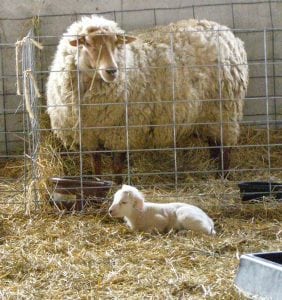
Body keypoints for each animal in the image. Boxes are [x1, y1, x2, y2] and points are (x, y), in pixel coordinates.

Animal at [46, 15, 249, 182]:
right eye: (87, 43)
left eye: (116, 43)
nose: (112, 70)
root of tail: (229, 35)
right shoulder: (89, 135)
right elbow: (96, 164)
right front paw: (98, 183)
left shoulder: (123, 132)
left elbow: (117, 165)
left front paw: (118, 186)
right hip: (210, 115)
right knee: (215, 144)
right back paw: (215, 170)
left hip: (225, 110)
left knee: (225, 148)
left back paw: (223, 177)